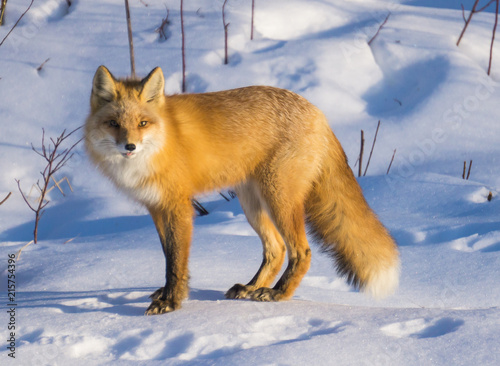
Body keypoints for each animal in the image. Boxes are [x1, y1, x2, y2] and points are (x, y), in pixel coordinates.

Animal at [84, 65, 400, 314]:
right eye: (113, 124)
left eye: (142, 123)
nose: (130, 147)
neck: (162, 142)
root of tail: (318, 112)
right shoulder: (156, 207)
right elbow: (167, 257)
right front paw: (168, 293)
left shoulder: (178, 207)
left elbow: (176, 261)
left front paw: (172, 302)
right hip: (252, 204)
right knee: (276, 249)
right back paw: (251, 287)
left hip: (278, 199)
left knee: (301, 251)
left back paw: (278, 293)